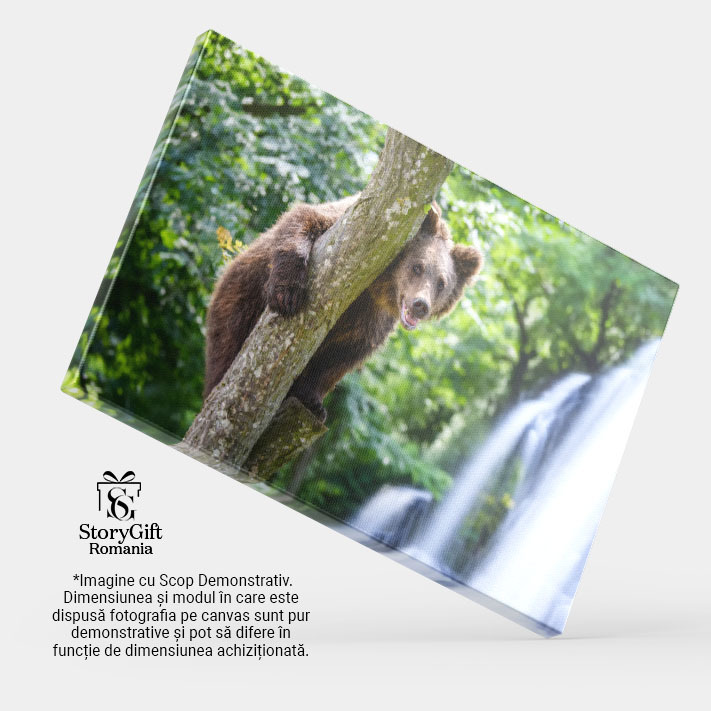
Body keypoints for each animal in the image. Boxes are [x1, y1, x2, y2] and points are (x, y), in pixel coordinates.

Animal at [204, 195, 483, 422]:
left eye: (442, 282)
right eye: (417, 266)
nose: (420, 305)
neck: (376, 286)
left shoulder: (371, 320)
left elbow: (340, 357)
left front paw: (313, 401)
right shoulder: (349, 229)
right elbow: (304, 218)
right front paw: (286, 293)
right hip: (239, 296)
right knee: (225, 345)